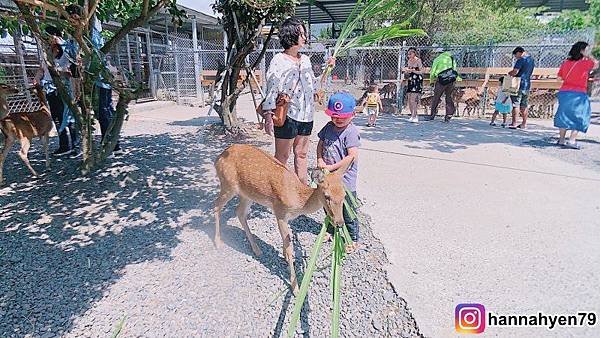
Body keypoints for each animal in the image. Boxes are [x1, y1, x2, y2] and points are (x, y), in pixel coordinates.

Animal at [213, 144, 352, 294]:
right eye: (327, 196)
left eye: (344, 195)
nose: (339, 223)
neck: (298, 200)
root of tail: (217, 159)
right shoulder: (280, 211)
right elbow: (290, 247)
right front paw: (295, 288)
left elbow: (286, 241)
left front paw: (284, 256)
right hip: (228, 184)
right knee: (216, 206)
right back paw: (218, 242)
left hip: (247, 194)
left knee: (239, 212)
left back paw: (256, 249)